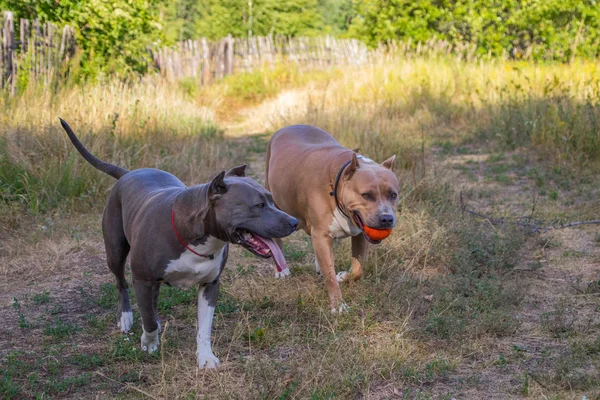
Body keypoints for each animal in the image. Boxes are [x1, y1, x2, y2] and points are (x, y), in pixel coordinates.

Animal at [58, 119, 298, 368]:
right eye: (259, 205)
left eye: (271, 200)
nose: (294, 222)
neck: (199, 238)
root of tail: (129, 173)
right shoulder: (141, 279)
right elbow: (148, 320)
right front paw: (149, 343)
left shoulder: (210, 285)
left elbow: (204, 328)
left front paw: (205, 357)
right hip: (115, 251)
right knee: (120, 282)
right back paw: (126, 318)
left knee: (151, 300)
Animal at [266, 125, 398, 312]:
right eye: (366, 195)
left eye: (393, 195)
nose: (386, 219)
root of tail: (290, 126)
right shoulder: (322, 235)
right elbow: (330, 275)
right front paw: (338, 306)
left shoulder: (359, 234)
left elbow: (358, 268)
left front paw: (344, 276)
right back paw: (281, 269)